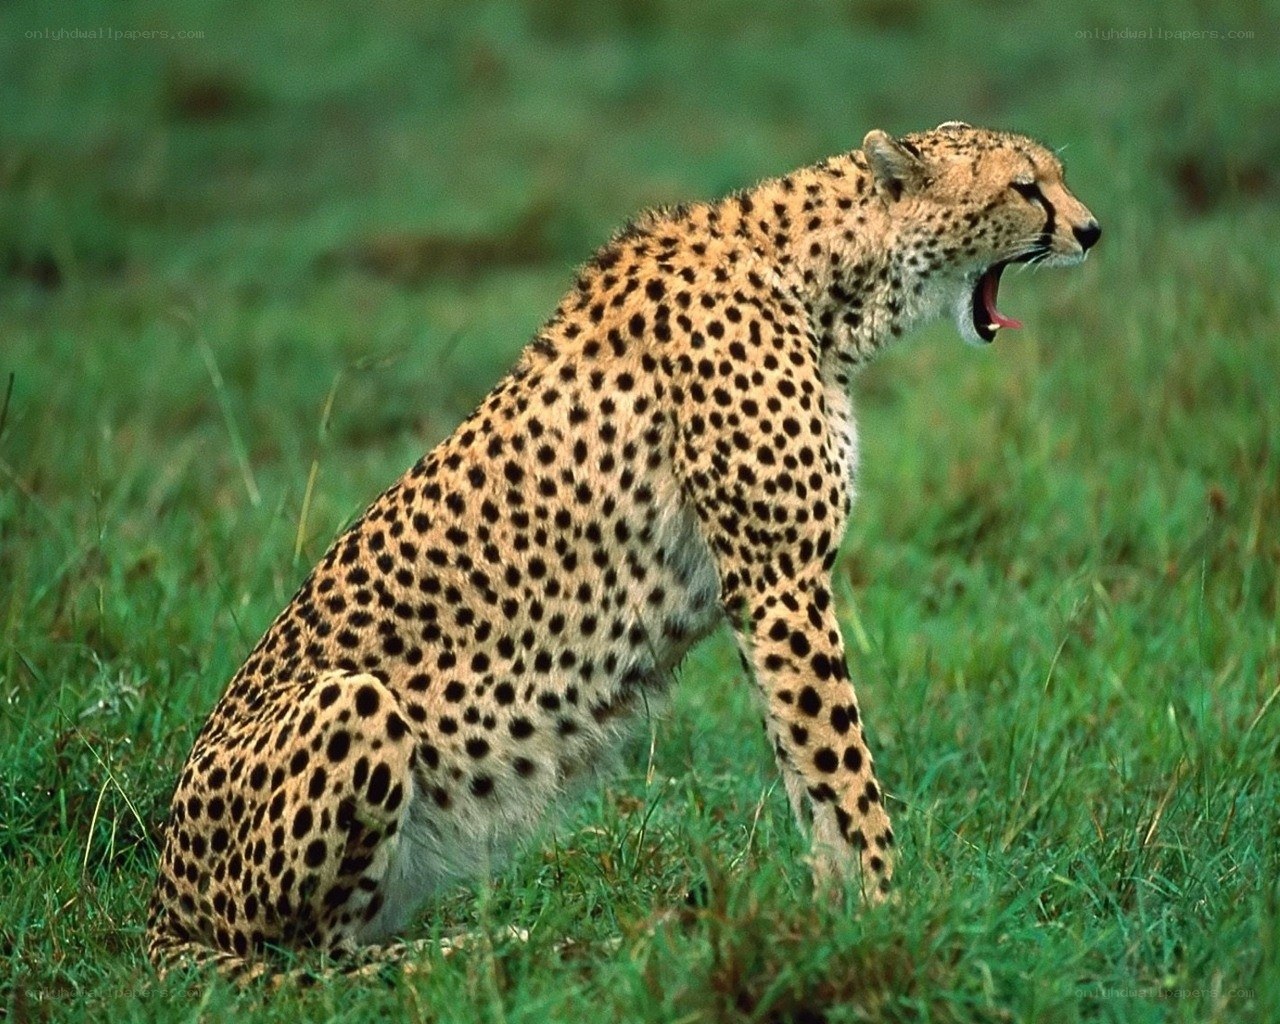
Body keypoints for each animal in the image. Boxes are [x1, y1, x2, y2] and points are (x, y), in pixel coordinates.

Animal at [146, 121, 1099, 981]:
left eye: (1053, 176)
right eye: (1026, 186)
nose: (1091, 230)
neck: (826, 280)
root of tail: (159, 905)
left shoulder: (769, 594)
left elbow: (806, 772)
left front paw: (837, 916)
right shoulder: (781, 581)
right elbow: (843, 770)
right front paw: (889, 913)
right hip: (353, 699)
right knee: (307, 955)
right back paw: (474, 951)